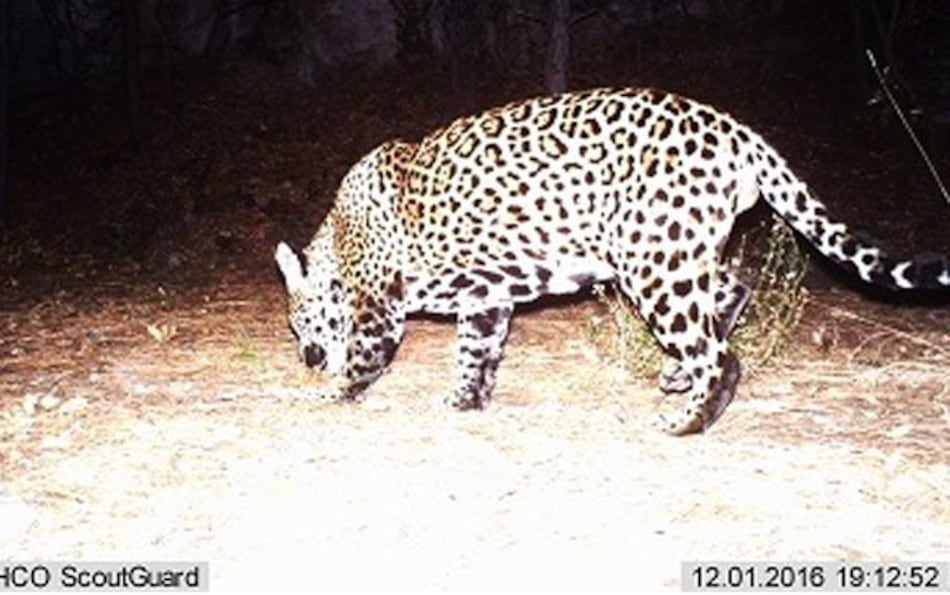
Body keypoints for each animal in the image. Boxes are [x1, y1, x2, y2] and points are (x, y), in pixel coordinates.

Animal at [275, 87, 949, 435]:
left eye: (301, 322)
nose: (306, 357)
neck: (337, 239)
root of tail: (735, 129)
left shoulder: (377, 304)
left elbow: (365, 356)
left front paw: (333, 393)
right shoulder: (486, 299)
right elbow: (476, 351)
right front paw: (465, 401)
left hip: (656, 265)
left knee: (720, 354)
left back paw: (686, 420)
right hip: (679, 251)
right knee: (734, 287)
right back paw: (677, 377)